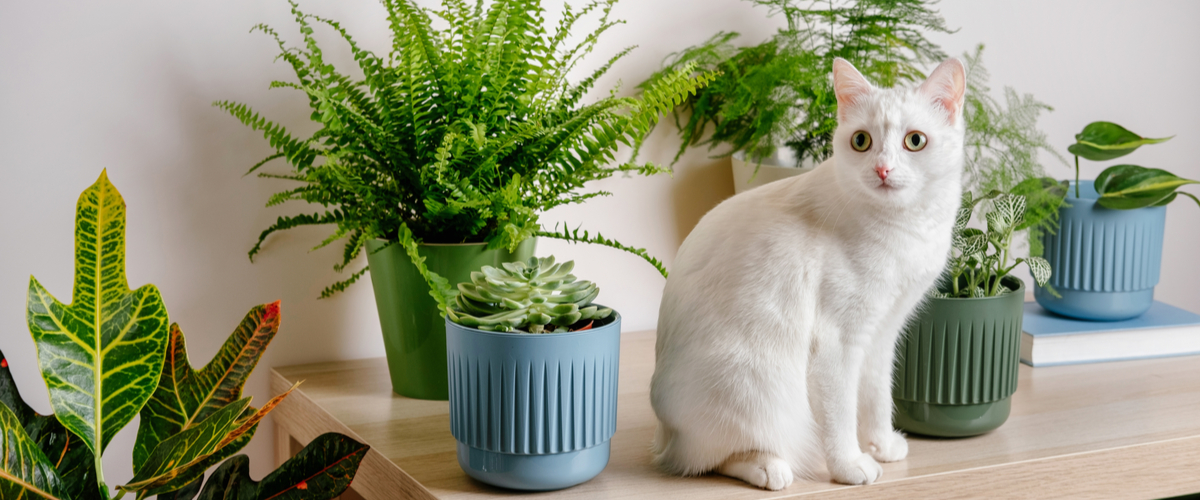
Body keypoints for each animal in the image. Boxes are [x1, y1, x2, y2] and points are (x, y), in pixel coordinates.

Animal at [648, 57, 964, 486]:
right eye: (861, 141)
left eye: (915, 141)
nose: (882, 169)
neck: (904, 226)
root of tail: (666, 437)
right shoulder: (837, 341)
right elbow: (841, 415)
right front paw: (850, 465)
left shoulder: (882, 333)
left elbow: (877, 397)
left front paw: (882, 445)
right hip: (757, 386)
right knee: (715, 458)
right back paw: (770, 469)